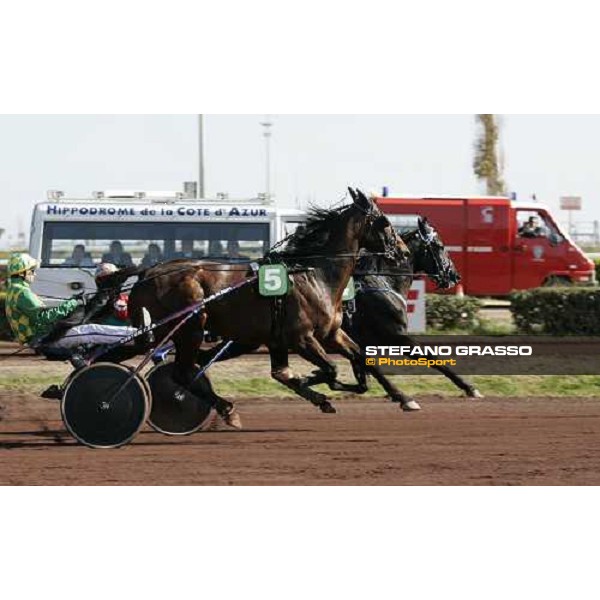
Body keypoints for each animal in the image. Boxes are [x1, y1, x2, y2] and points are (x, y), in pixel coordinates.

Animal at [127, 190, 398, 424]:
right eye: (384, 221)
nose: (400, 252)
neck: (314, 275)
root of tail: (147, 273)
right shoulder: (300, 337)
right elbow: (328, 369)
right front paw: (315, 381)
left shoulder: (326, 334)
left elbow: (360, 358)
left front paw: (400, 397)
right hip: (189, 328)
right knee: (182, 373)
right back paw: (225, 409)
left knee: (190, 365)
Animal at [346, 217, 482, 412]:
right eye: (440, 246)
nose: (455, 276)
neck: (381, 281)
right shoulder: (396, 336)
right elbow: (430, 357)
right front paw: (469, 387)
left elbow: (364, 377)